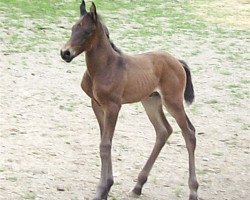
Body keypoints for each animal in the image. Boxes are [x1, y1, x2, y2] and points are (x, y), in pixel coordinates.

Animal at [60, 0, 199, 199]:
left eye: (87, 31)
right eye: (73, 28)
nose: (65, 53)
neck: (104, 67)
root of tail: (177, 61)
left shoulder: (113, 106)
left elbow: (105, 144)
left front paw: (101, 190)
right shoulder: (97, 105)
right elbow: (105, 142)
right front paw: (107, 187)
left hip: (173, 101)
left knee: (189, 133)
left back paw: (193, 190)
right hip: (151, 101)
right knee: (164, 131)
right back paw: (138, 186)